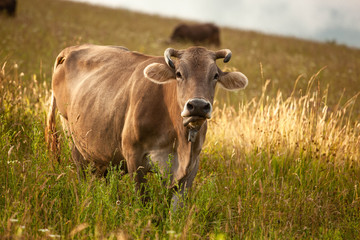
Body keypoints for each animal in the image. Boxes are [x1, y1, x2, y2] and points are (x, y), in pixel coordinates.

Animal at [45, 45, 248, 210]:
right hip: (71, 136)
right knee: (83, 176)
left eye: (215, 75)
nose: (197, 105)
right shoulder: (134, 157)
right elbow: (142, 201)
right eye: (179, 74)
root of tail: (70, 50)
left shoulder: (192, 166)